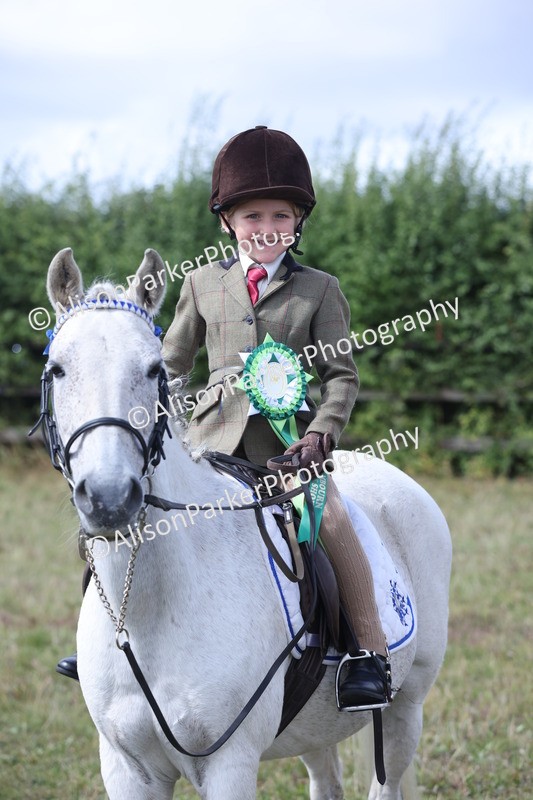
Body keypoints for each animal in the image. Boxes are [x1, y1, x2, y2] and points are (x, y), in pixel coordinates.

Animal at [42, 246, 451, 800]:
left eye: (152, 370)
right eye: (58, 369)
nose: (109, 498)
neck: (151, 607)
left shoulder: (229, 763)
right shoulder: (126, 767)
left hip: (406, 708)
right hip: (314, 728)